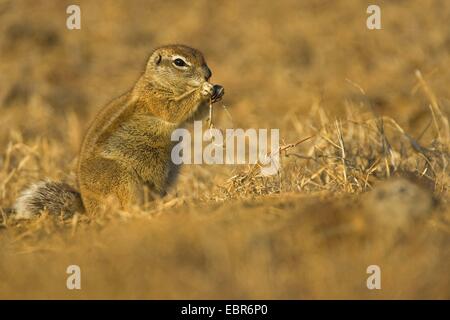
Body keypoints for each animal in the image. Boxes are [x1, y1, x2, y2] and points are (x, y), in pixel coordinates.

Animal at [13, 45, 224, 219]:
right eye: (179, 62)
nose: (209, 74)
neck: (157, 81)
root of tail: (89, 210)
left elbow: (193, 116)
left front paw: (218, 89)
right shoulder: (155, 98)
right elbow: (174, 110)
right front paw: (204, 89)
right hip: (121, 176)